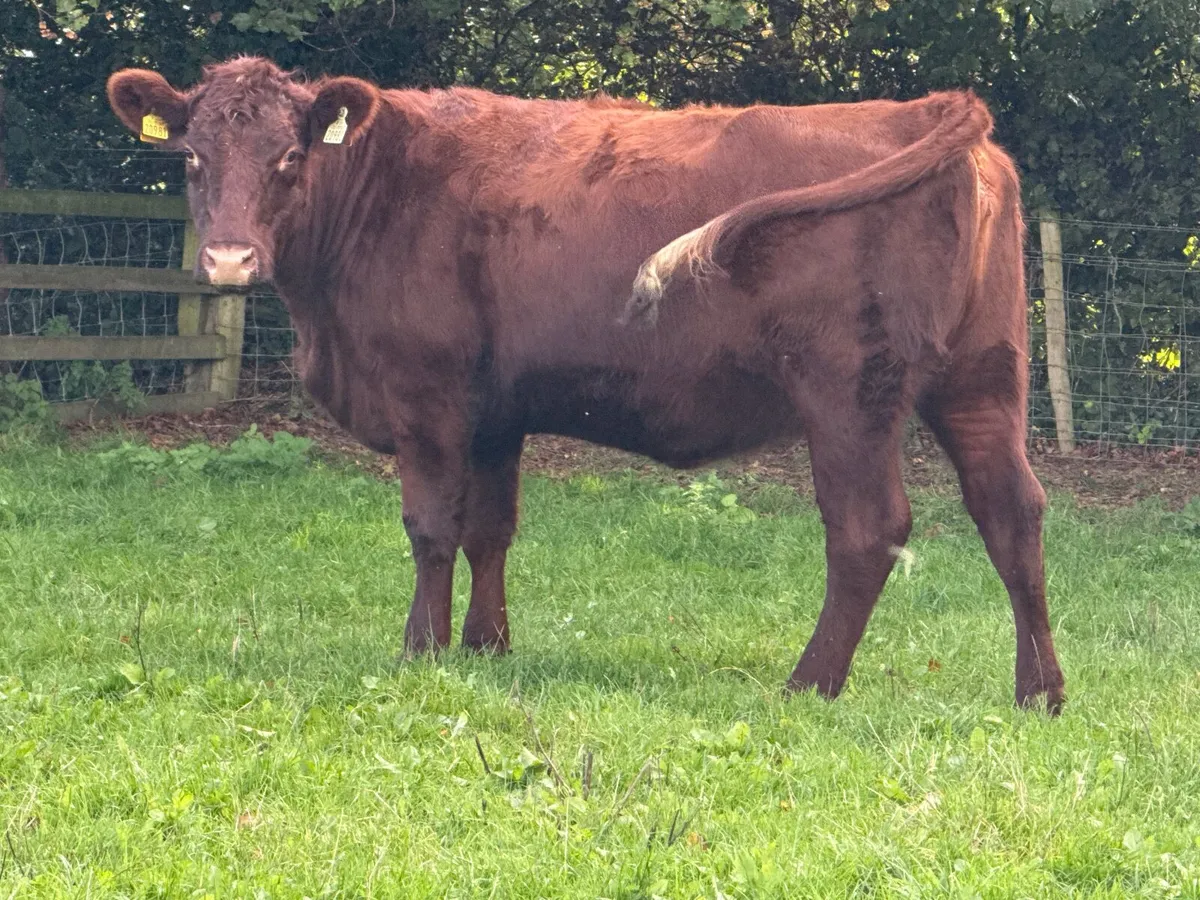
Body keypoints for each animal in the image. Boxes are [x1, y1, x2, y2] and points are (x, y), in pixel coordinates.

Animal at [107, 57, 1065, 712]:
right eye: (192, 158)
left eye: (287, 156)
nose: (229, 259)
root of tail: (929, 110)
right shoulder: (495, 413)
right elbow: (491, 530)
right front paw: (487, 648)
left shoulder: (427, 398)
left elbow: (430, 529)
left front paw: (421, 651)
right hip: (983, 379)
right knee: (1012, 512)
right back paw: (1040, 693)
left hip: (849, 391)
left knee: (869, 531)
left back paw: (808, 684)